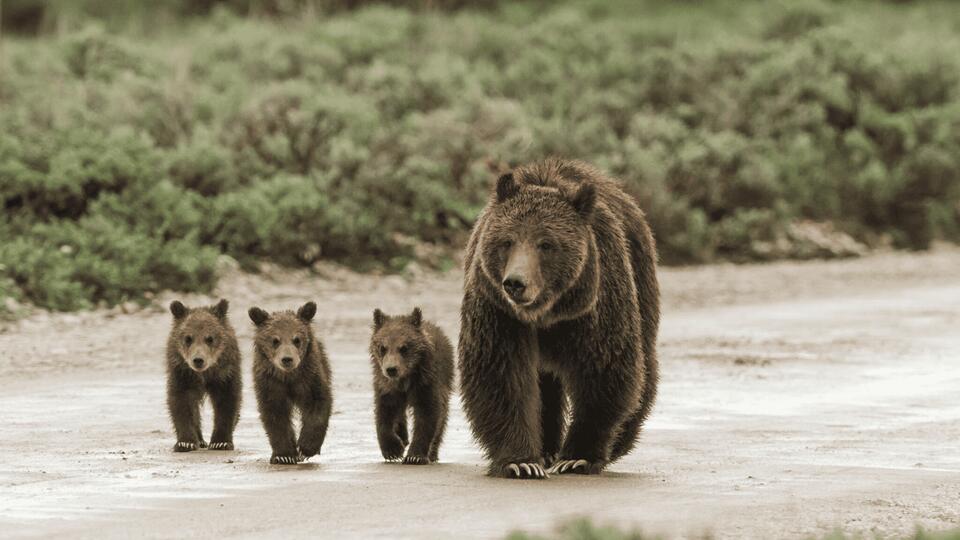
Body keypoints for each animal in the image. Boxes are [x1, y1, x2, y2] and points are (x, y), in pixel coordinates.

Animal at [166, 299, 242, 452]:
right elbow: (181, 402)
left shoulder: (225, 374)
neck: (204, 374)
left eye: (210, 338)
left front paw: (221, 442)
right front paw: (185, 442)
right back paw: (200, 440)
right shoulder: (182, 373)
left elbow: (227, 402)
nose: (198, 360)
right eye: (188, 338)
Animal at [248, 301, 333, 465]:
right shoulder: (271, 384)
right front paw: (284, 455)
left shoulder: (309, 378)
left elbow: (318, 404)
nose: (287, 359)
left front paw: (305, 448)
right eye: (275, 340)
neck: (288, 377)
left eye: (297, 339)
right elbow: (275, 415)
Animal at [368, 307, 454, 465]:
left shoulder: (426, 383)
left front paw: (415, 456)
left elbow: (427, 414)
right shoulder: (386, 385)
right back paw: (403, 436)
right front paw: (393, 450)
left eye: (404, 347)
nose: (391, 369)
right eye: (382, 347)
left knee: (443, 416)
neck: (405, 379)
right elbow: (384, 412)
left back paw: (433, 453)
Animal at [458, 158, 660, 479]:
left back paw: (619, 441)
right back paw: (546, 450)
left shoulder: (594, 308)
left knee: (643, 366)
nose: (515, 283)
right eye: (507, 241)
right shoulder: (498, 311)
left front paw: (578, 457)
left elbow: (604, 371)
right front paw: (521, 462)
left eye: (546, 244)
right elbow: (501, 375)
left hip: (640, 280)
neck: (546, 314)